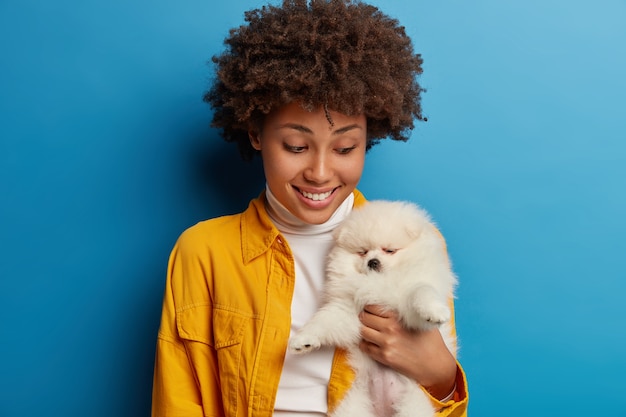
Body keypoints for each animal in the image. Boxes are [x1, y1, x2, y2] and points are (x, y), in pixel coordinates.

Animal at [286, 200, 454, 414]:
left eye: (389, 250)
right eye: (362, 252)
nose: (373, 262)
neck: (377, 282)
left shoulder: (409, 303)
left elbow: (422, 291)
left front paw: (434, 311)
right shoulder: (349, 311)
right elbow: (325, 321)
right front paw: (304, 340)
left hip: (413, 405)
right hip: (354, 405)